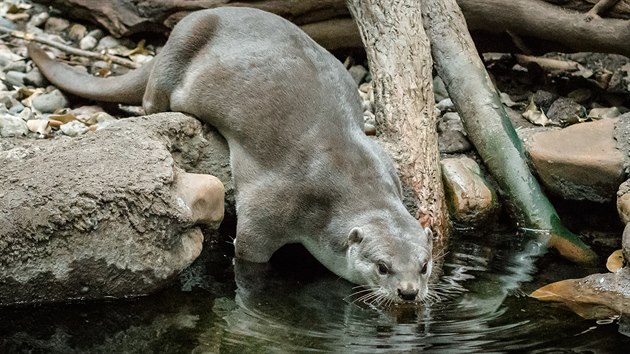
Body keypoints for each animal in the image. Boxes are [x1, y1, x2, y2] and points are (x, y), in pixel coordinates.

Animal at [28, 6, 434, 304]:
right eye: (382, 267)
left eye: (424, 266)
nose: (408, 293)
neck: (350, 178)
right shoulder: (276, 205)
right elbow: (250, 251)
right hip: (179, 47)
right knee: (151, 100)